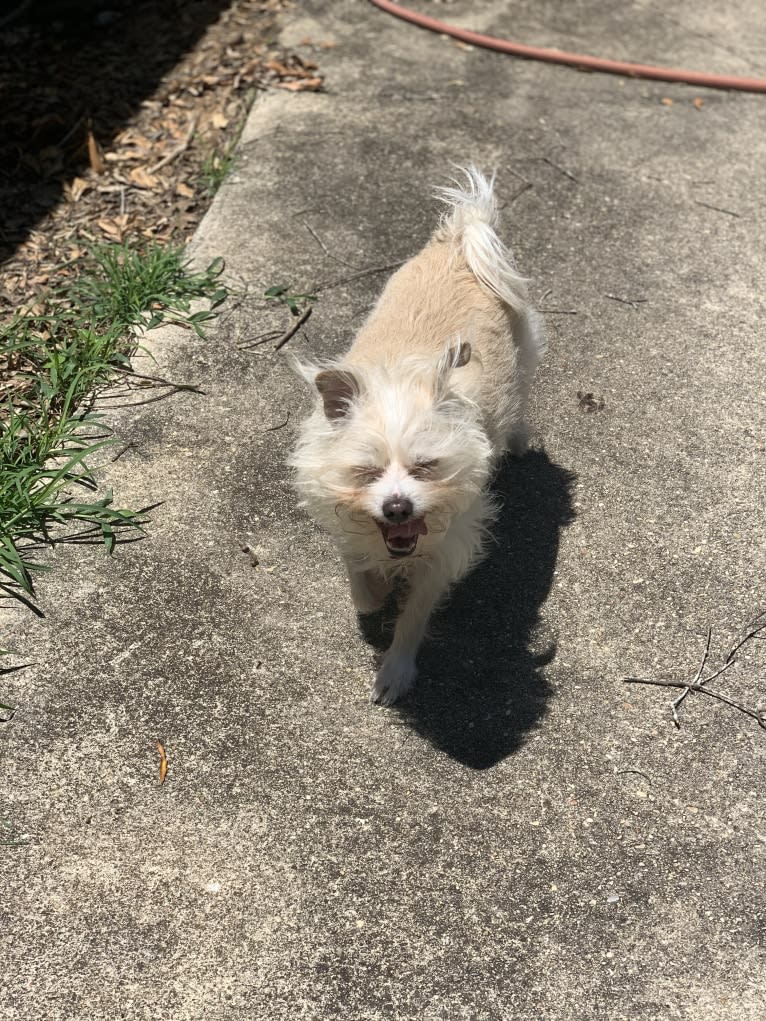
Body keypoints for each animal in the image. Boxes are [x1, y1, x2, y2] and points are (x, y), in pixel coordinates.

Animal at [288, 167, 547, 706]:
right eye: (366, 472)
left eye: (426, 467)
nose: (397, 507)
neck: (398, 381)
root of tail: (457, 238)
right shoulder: (345, 517)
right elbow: (360, 579)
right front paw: (373, 596)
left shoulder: (446, 549)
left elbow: (413, 615)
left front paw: (396, 668)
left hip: (523, 351)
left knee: (523, 393)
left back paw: (517, 439)